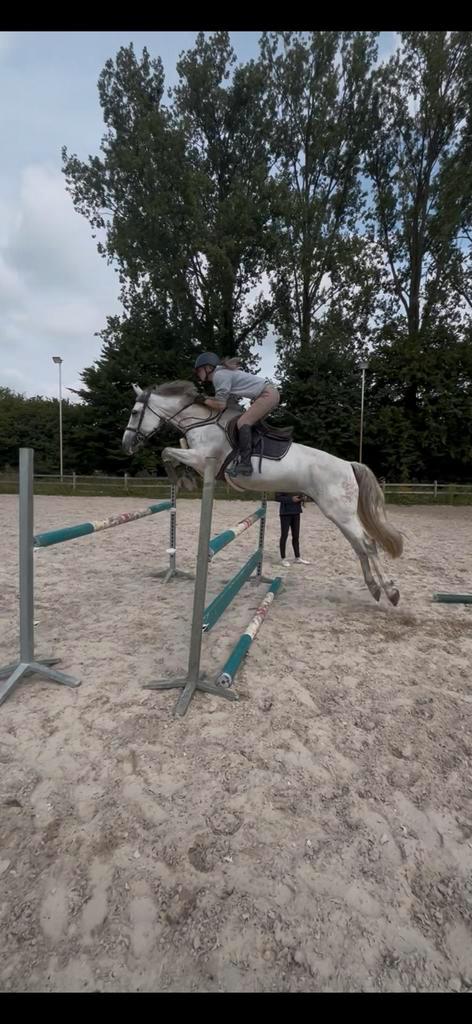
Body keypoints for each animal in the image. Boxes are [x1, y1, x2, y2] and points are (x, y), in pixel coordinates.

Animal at [122, 380, 403, 605]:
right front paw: (184, 478)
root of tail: (348, 465)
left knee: (367, 543)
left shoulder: (203, 459)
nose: (126, 445)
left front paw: (181, 478)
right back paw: (374, 588)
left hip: (340, 512)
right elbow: (170, 453)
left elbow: (166, 451)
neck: (202, 423)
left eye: (135, 413)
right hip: (340, 515)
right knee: (359, 546)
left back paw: (390, 591)